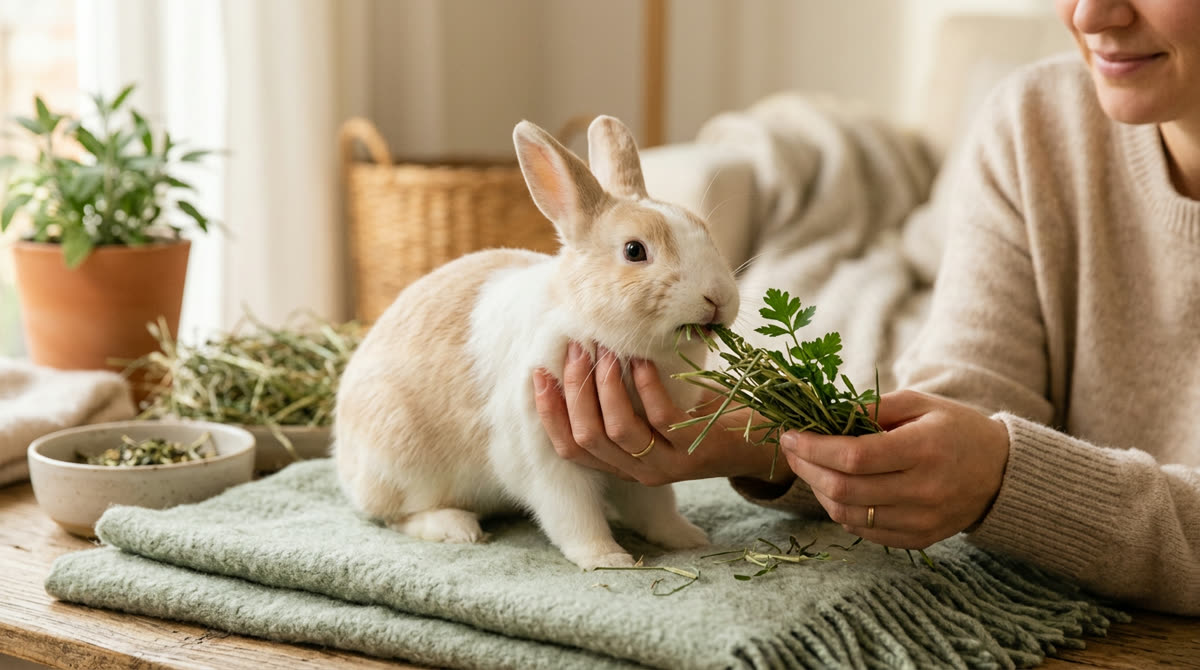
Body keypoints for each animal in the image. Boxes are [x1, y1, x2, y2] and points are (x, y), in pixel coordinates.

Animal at [333, 115, 740, 570]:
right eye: (635, 251)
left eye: (706, 232)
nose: (717, 297)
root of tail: (345, 462)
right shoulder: (545, 456)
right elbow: (574, 513)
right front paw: (607, 559)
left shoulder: (639, 462)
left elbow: (656, 506)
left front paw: (687, 539)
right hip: (401, 458)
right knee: (396, 514)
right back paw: (458, 528)